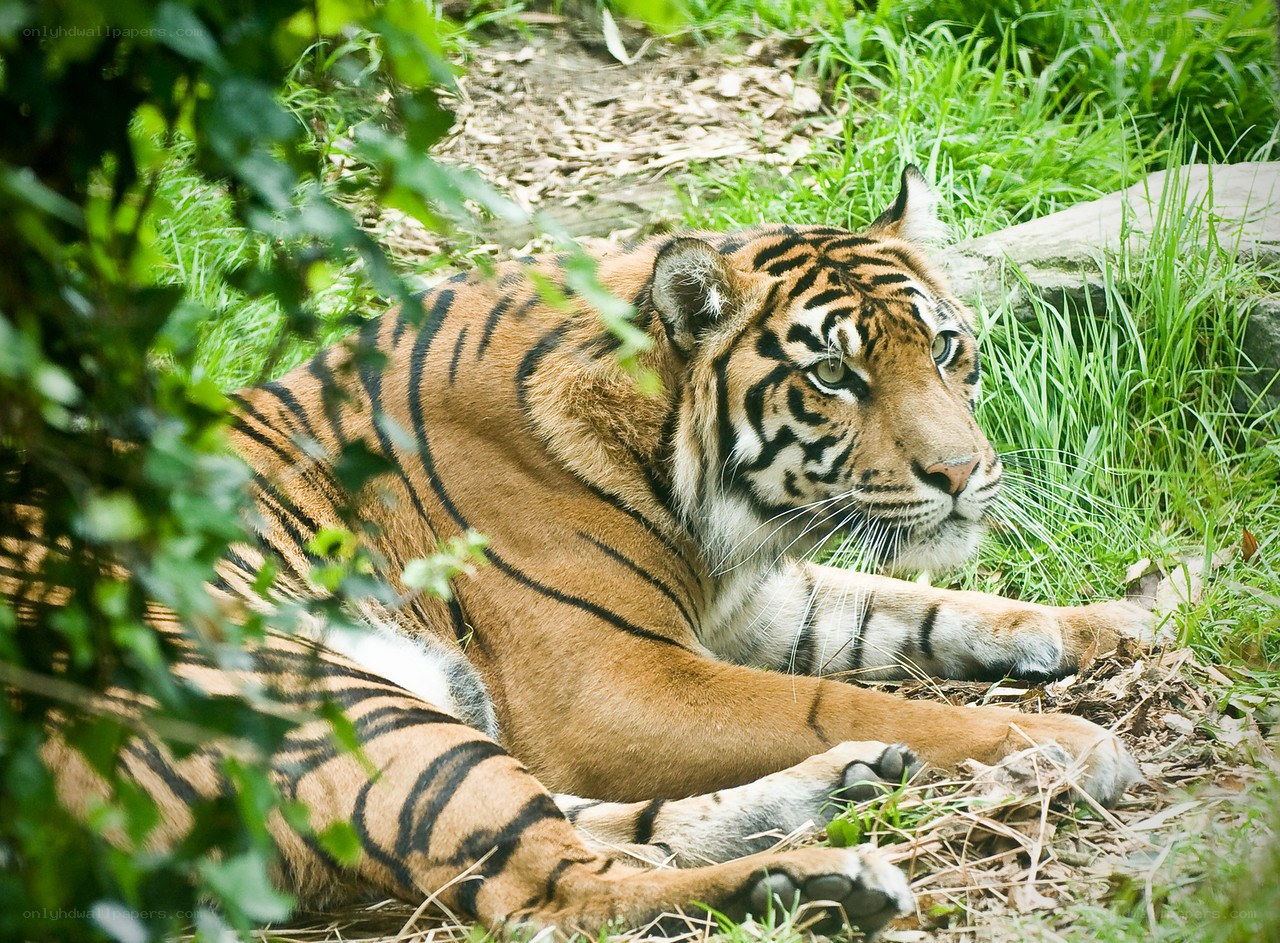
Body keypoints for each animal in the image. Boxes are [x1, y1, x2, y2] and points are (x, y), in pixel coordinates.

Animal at [30, 167, 1155, 939]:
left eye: (947, 348)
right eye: (833, 376)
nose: (964, 473)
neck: (714, 511)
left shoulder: (759, 602)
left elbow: (927, 610)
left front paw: (1124, 620)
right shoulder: (614, 681)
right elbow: (846, 696)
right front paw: (1065, 740)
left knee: (578, 835)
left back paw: (841, 792)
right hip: (320, 695)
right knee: (552, 891)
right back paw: (819, 881)